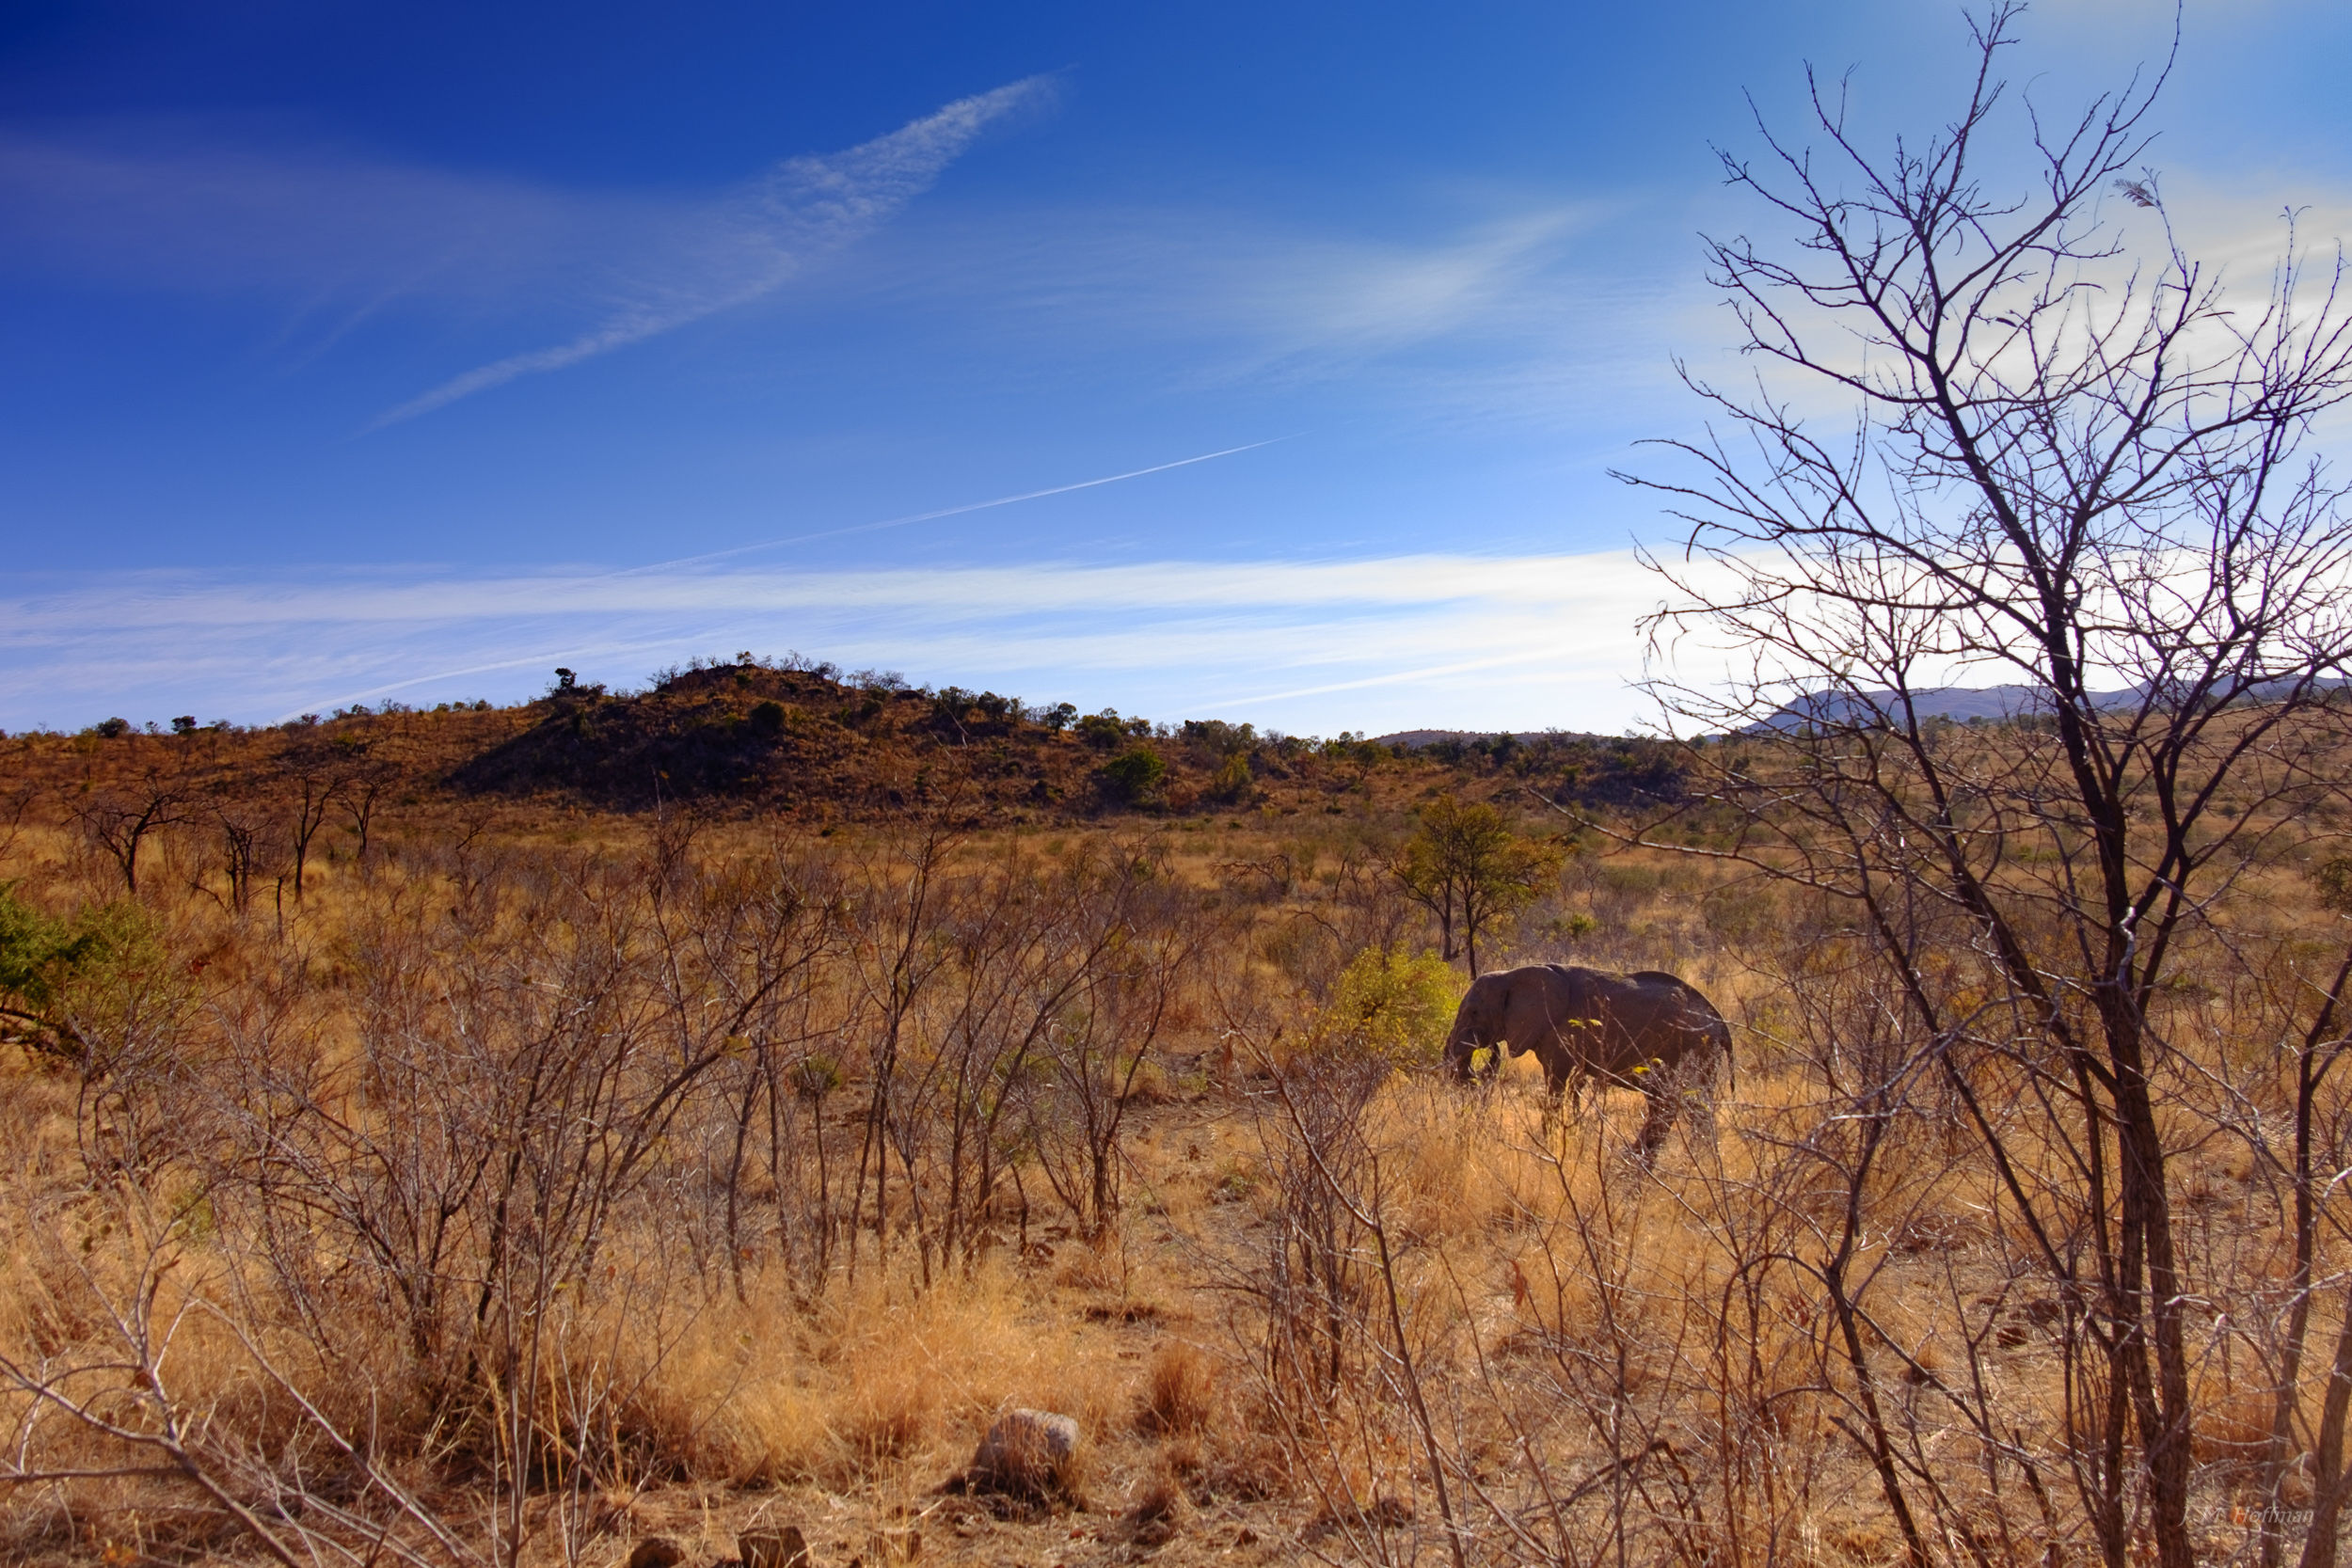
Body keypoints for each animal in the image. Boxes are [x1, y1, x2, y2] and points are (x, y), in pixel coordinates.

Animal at [1443, 964, 1731, 1153]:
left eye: (1473, 1012)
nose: (1491, 1049)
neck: (1512, 975)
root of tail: (1722, 1022)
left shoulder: (1562, 1032)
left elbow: (1557, 1083)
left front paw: (1548, 1144)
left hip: (1697, 1048)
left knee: (1689, 1105)